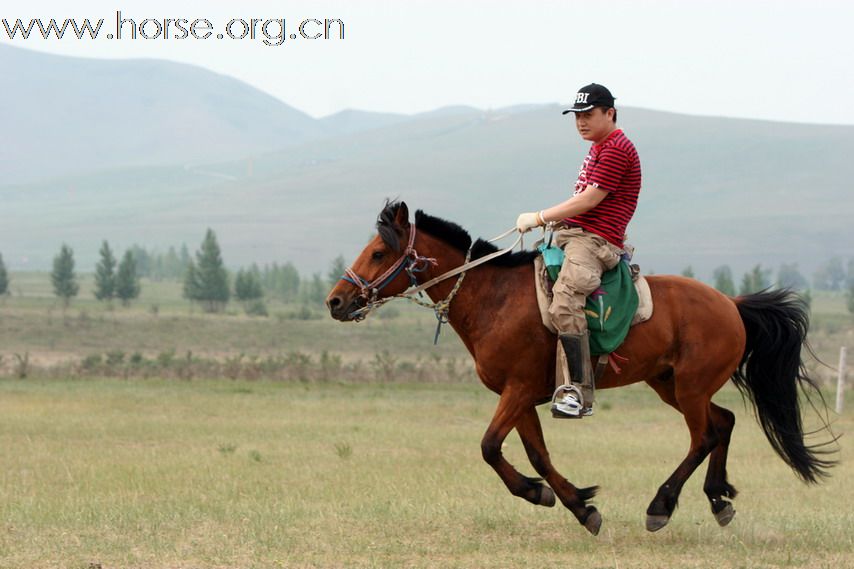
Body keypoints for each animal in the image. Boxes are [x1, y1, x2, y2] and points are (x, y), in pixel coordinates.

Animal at [328, 202, 836, 536]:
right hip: (669, 384)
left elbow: (490, 447)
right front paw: (571, 502)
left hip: (691, 388)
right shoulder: (521, 398)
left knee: (704, 435)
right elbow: (536, 455)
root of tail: (731, 304)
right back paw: (717, 498)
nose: (336, 301)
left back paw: (662, 504)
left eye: (378, 253)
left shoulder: (517, 391)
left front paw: (549, 496)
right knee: (724, 422)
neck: (493, 298)